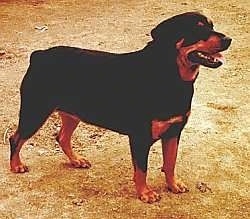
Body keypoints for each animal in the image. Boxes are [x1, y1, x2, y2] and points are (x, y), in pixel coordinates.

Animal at [9, 12, 232, 203]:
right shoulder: (140, 137)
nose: (229, 39)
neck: (168, 74)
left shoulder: (173, 132)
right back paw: (16, 165)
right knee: (16, 138)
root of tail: (39, 55)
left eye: (211, 26)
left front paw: (173, 185)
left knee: (62, 137)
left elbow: (170, 163)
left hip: (72, 114)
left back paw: (76, 160)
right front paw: (145, 193)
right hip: (35, 110)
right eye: (197, 29)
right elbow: (141, 170)